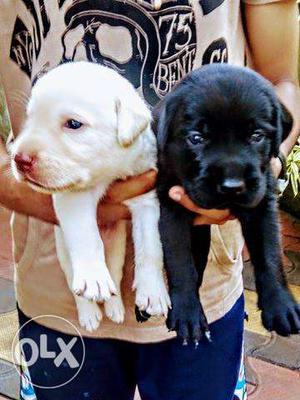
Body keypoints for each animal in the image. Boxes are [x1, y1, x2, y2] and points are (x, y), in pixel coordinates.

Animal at [10, 61, 170, 332]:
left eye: (74, 124)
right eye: (30, 119)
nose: (19, 159)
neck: (109, 172)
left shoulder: (146, 197)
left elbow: (151, 247)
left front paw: (153, 292)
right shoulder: (73, 196)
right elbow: (86, 236)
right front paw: (94, 279)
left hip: (117, 249)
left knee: (114, 276)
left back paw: (115, 308)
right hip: (65, 253)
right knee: (75, 284)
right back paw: (89, 313)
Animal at [155, 65, 300, 344]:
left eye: (256, 136)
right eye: (196, 138)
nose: (233, 186)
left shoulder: (262, 205)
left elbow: (270, 255)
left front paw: (281, 306)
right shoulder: (170, 205)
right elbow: (180, 261)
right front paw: (188, 314)